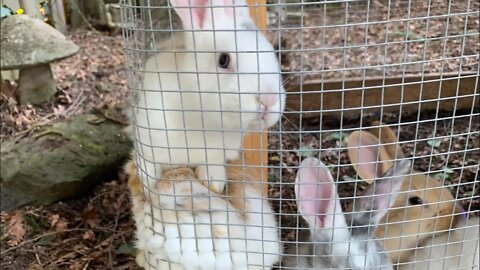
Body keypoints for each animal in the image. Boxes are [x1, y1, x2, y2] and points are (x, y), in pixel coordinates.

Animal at [132, 0, 284, 194]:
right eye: (223, 60)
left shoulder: (217, 152)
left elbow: (212, 163)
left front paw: (215, 182)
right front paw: (147, 185)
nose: (269, 100)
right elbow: (147, 163)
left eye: (272, 52)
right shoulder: (147, 131)